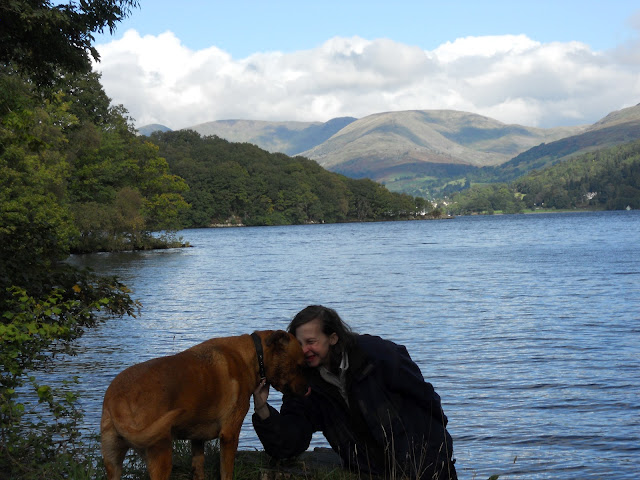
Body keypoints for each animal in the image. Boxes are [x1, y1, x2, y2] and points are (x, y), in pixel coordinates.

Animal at [100, 330, 310, 480]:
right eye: (300, 366)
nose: (309, 390)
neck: (254, 355)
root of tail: (117, 397)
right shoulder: (230, 435)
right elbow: (226, 472)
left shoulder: (197, 440)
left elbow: (198, 469)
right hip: (160, 455)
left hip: (113, 462)